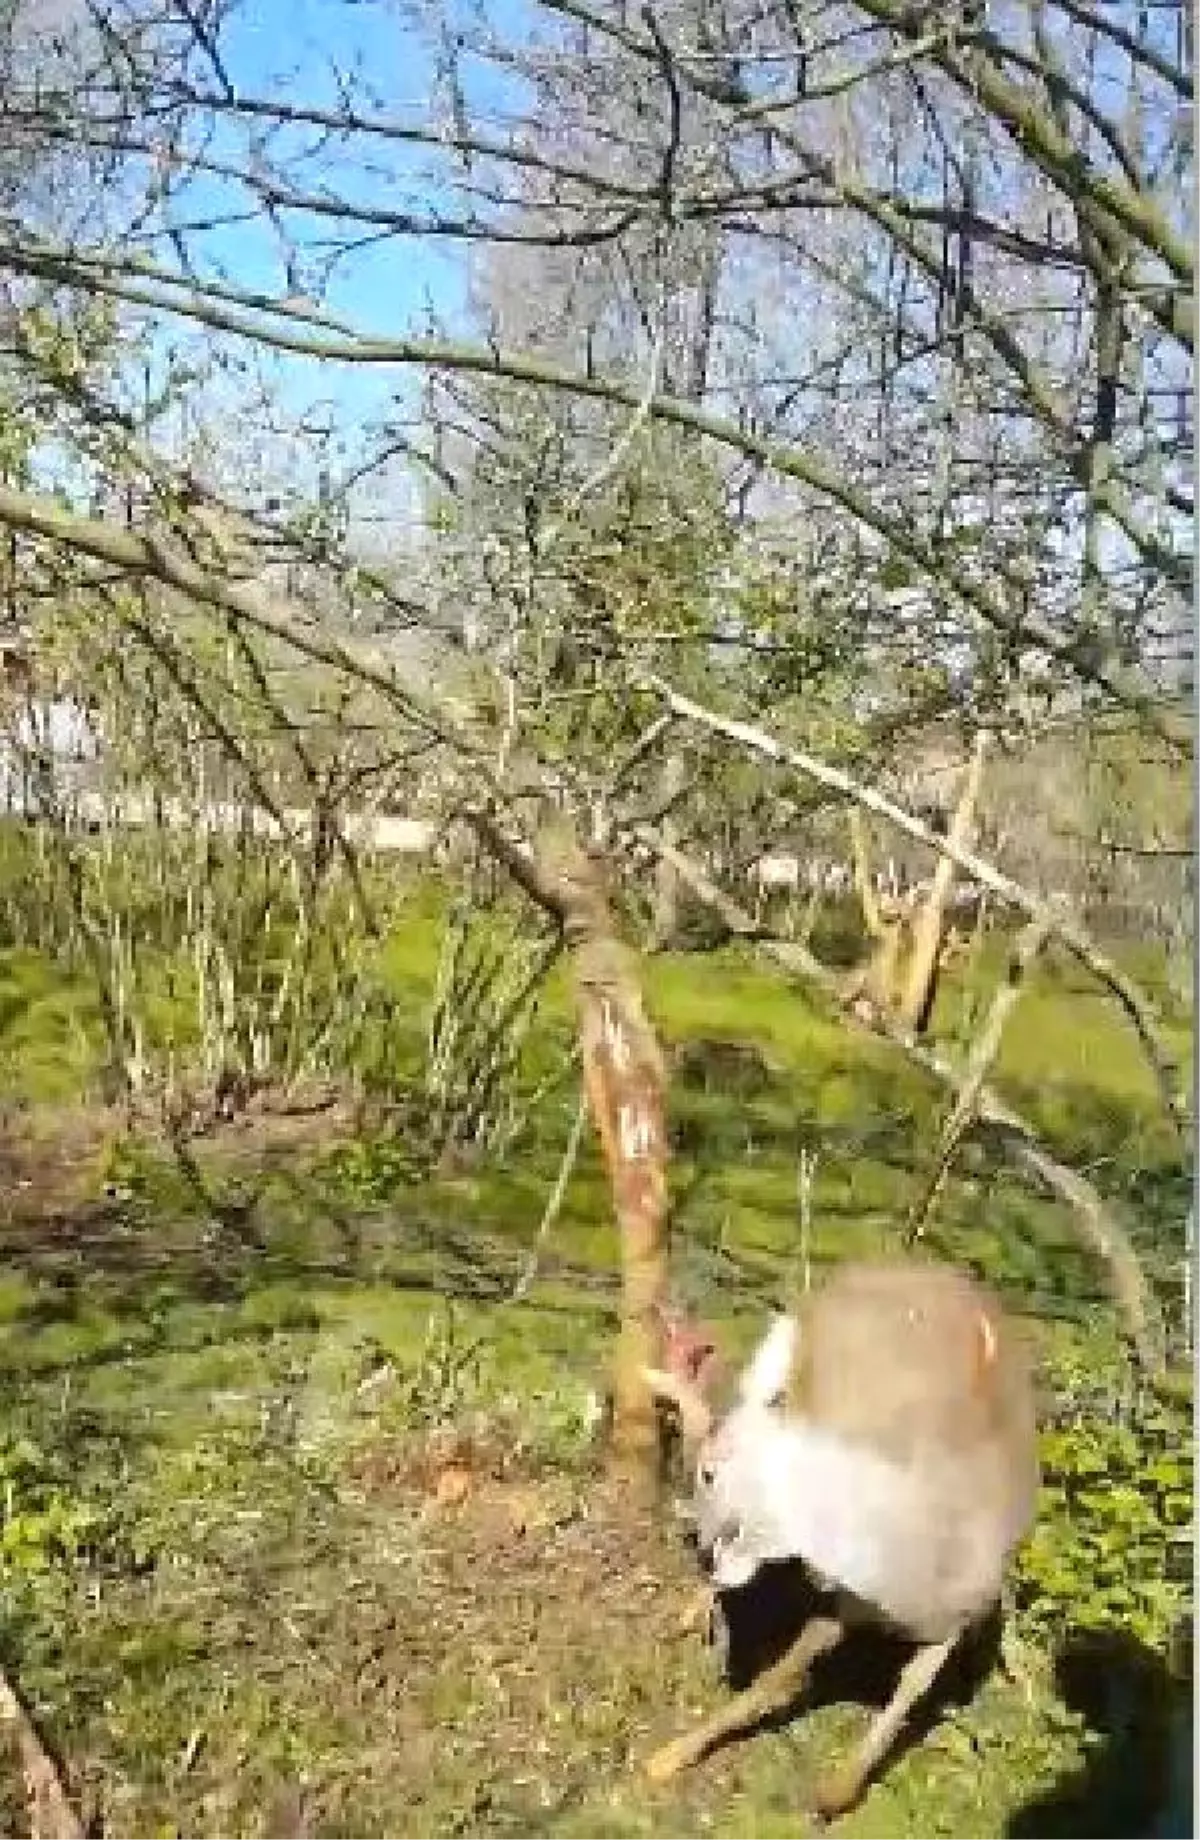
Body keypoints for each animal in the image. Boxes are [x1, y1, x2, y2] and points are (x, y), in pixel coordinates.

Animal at [640, 1258, 1038, 1817]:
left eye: (709, 1475)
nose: (701, 1543)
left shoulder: (955, 1617)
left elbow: (911, 1689)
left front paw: (837, 1793)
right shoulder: (845, 1596)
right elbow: (782, 1672)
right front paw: (671, 1756)